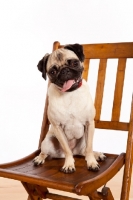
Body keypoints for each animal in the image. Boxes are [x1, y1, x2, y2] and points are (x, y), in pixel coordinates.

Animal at [33, 44, 105, 173]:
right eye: (52, 71)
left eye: (74, 63)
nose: (65, 70)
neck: (70, 93)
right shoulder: (58, 127)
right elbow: (67, 150)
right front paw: (69, 164)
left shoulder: (89, 123)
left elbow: (89, 148)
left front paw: (92, 163)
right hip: (47, 142)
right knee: (45, 152)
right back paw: (39, 158)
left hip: (84, 140)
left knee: (85, 151)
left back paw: (96, 155)